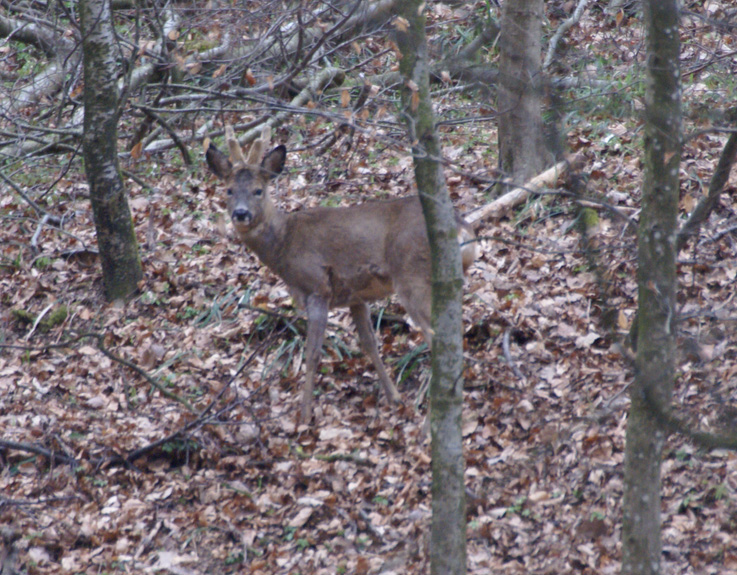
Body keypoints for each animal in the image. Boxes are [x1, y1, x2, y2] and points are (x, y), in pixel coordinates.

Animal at [204, 125, 474, 424]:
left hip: (411, 276)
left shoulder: (317, 287)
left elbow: (312, 353)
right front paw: (394, 397)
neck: (284, 244)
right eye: (229, 190)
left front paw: (304, 417)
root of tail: (461, 227)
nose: (241, 214)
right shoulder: (356, 297)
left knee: (437, 339)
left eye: (258, 190)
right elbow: (369, 344)